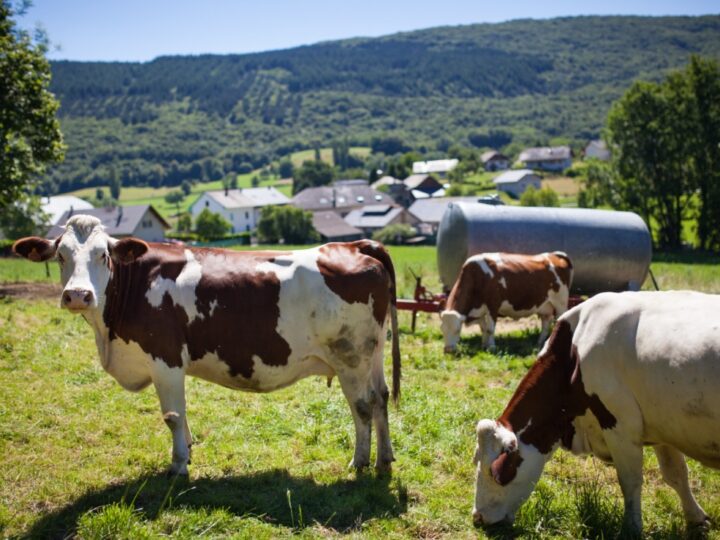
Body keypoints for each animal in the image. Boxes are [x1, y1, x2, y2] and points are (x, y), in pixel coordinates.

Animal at [11, 216, 402, 476]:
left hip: (350, 357)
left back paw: (359, 462)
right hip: (373, 353)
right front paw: (189, 451)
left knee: (363, 406)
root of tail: (354, 245)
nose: (78, 295)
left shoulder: (165, 358)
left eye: (103, 255)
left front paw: (179, 465)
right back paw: (384, 459)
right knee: (381, 398)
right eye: (60, 256)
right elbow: (181, 416)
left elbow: (172, 415)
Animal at [438, 251, 572, 352]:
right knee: (546, 323)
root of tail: (553, 255)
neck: (477, 276)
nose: (448, 350)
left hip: (560, 303)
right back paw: (540, 342)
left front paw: (491, 347)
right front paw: (484, 345)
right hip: (545, 306)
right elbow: (483, 328)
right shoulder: (478, 309)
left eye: (457, 330)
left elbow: (490, 329)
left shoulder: (493, 305)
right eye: (442, 329)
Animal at [472, 292, 720, 536]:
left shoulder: (620, 426)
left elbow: (630, 481)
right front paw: (696, 519)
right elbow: (675, 474)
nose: (478, 517)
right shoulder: (661, 427)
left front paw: (631, 528)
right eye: (477, 459)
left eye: (495, 471)